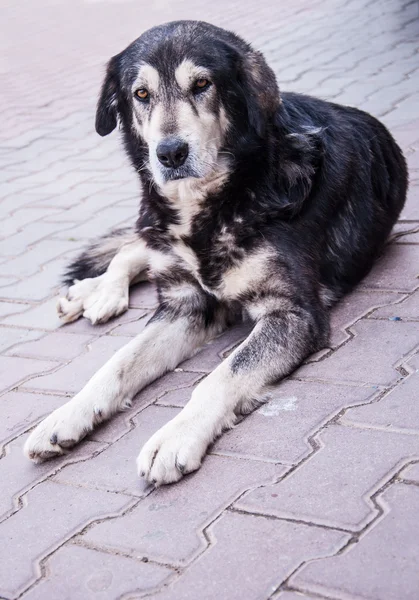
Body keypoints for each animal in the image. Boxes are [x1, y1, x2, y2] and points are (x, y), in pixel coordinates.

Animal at [23, 21, 406, 486]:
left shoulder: (292, 313)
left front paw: (174, 437)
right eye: (141, 94)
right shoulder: (185, 305)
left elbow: (222, 374)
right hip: (153, 226)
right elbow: (117, 362)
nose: (170, 153)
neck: (215, 204)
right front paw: (66, 415)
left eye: (202, 84)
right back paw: (95, 293)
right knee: (133, 247)